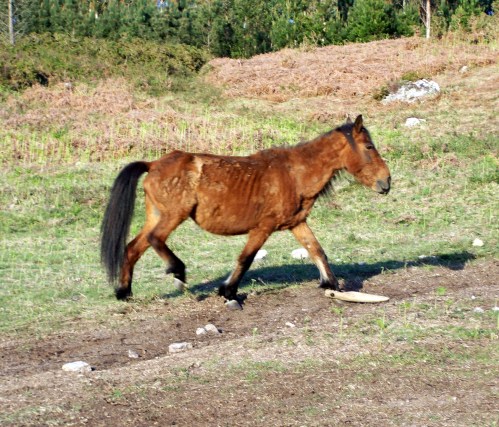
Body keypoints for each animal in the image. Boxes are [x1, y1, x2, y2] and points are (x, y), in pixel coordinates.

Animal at [100, 115, 391, 303]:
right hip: (173, 215)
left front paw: (330, 284)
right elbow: (246, 258)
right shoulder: (263, 227)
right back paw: (178, 270)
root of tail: (153, 164)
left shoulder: (296, 223)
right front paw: (228, 291)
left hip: (157, 214)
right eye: (369, 146)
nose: (386, 182)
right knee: (155, 238)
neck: (294, 174)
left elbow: (316, 250)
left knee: (133, 248)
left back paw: (124, 292)